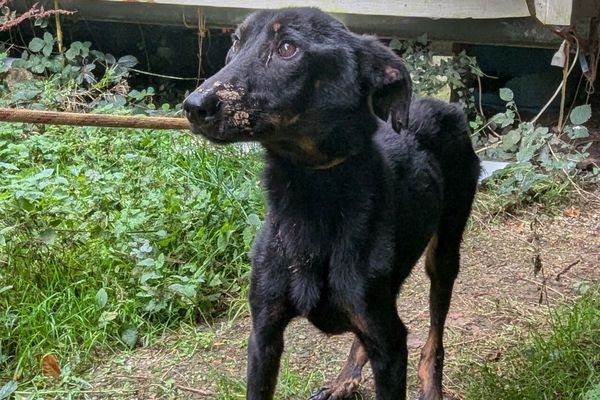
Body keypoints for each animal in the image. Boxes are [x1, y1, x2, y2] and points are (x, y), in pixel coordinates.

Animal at [183, 7, 478, 400]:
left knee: (434, 337)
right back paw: (344, 380)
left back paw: (430, 386)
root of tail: (442, 103)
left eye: (288, 48)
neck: (309, 196)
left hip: (444, 254)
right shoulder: (264, 334)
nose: (193, 106)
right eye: (236, 41)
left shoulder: (390, 347)